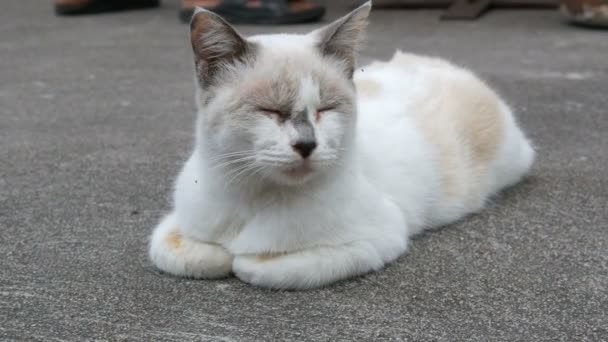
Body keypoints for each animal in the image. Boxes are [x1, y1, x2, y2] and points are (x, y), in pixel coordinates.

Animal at [150, 1, 536, 290]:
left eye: (325, 109)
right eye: (270, 111)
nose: (307, 144)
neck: (253, 198)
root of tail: (451, 67)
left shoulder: (377, 239)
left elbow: (259, 266)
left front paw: (242, 259)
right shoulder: (174, 227)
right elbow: (185, 253)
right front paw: (218, 255)